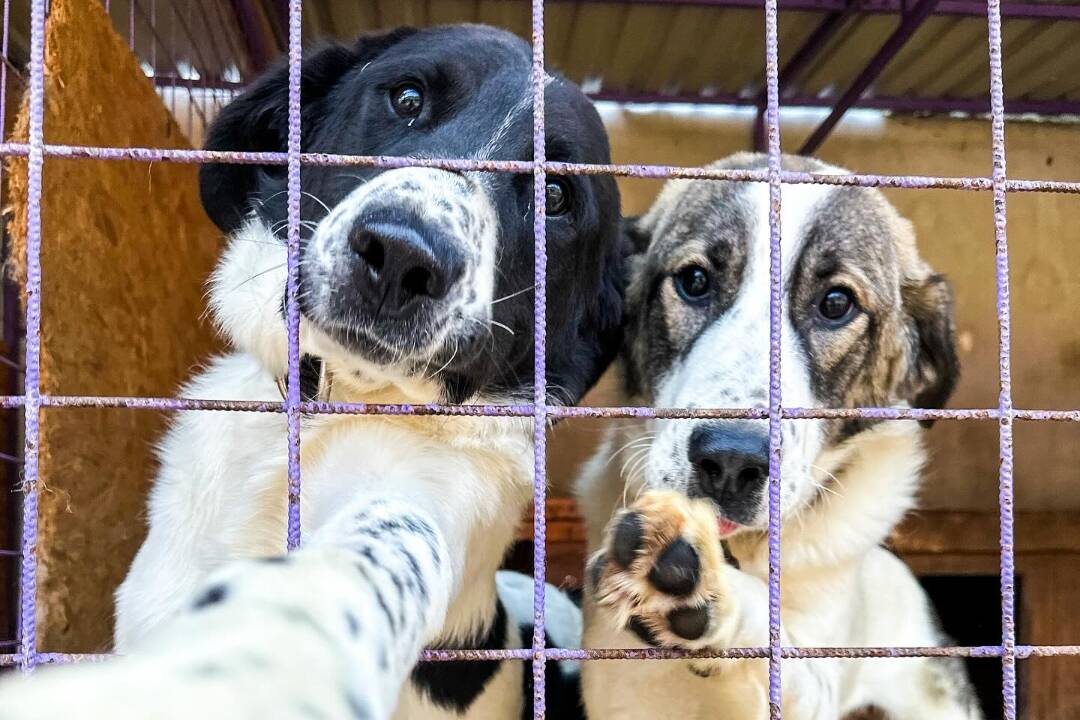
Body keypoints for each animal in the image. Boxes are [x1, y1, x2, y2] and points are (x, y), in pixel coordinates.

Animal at [578, 153, 984, 720]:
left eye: (835, 303)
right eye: (695, 280)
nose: (729, 463)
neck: (742, 549)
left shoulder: (817, 674)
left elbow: (785, 658)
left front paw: (699, 588)